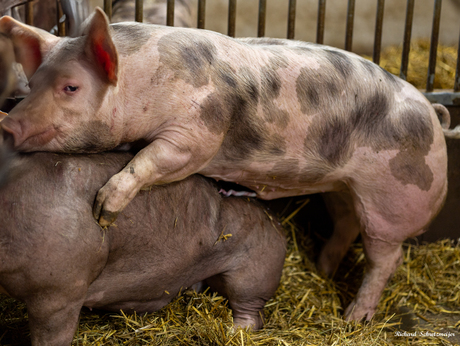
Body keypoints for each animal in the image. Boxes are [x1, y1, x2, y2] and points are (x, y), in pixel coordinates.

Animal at [0, 8, 450, 322]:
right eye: (32, 84)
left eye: (71, 87)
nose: (9, 122)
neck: (141, 83)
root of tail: (434, 113)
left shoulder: (196, 134)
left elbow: (151, 159)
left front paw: (103, 211)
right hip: (343, 188)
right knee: (346, 224)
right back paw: (321, 270)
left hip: (396, 201)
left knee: (385, 258)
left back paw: (354, 318)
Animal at [0, 149, 286, 346]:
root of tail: (277, 221)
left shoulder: (60, 292)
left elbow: (52, 337)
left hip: (254, 273)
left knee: (251, 315)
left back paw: (232, 331)